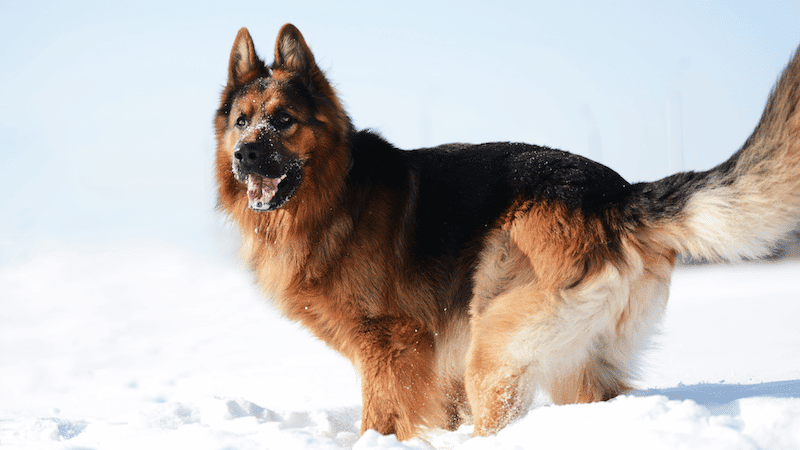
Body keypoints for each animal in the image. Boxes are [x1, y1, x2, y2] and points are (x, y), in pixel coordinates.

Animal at [214, 24, 800, 439]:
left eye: (283, 121)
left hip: (493, 348)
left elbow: (380, 419)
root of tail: (617, 195)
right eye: (242, 122)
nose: (246, 156)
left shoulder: (391, 347)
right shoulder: (436, 367)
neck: (335, 195)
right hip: (572, 363)